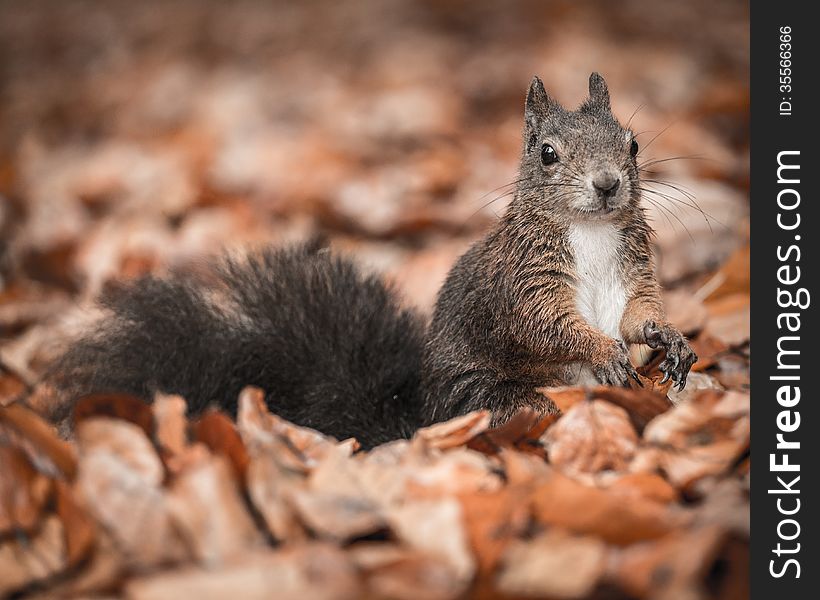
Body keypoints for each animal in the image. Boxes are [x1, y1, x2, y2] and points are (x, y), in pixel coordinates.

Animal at [40, 72, 692, 448]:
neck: (592, 232)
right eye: (548, 153)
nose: (608, 185)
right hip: (490, 402)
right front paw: (600, 350)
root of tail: (419, 425)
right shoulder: (520, 284)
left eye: (632, 143)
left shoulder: (634, 269)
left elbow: (638, 312)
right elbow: (545, 326)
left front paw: (668, 338)